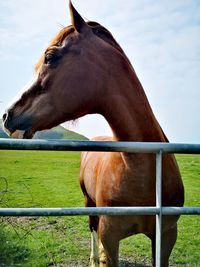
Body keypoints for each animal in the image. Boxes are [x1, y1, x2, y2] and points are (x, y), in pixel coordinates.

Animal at [2, 2, 184, 267]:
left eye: (50, 57)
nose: (7, 115)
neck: (145, 171)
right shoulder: (111, 234)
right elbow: (102, 239)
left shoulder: (166, 237)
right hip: (89, 203)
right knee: (92, 228)